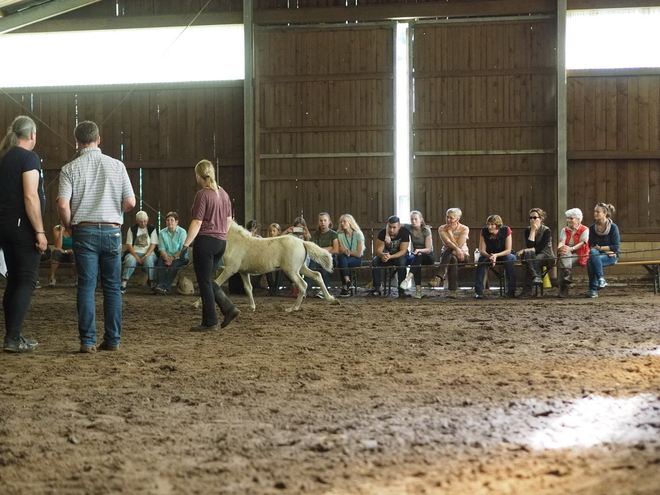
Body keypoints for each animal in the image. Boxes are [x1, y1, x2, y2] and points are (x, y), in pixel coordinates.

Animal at [195, 222, 340, 312]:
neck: (236, 242)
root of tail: (302, 242)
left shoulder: (230, 269)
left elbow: (216, 283)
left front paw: (196, 303)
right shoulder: (243, 272)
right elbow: (248, 288)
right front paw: (252, 307)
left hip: (291, 271)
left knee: (303, 285)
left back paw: (293, 308)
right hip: (301, 268)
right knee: (317, 276)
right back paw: (331, 299)